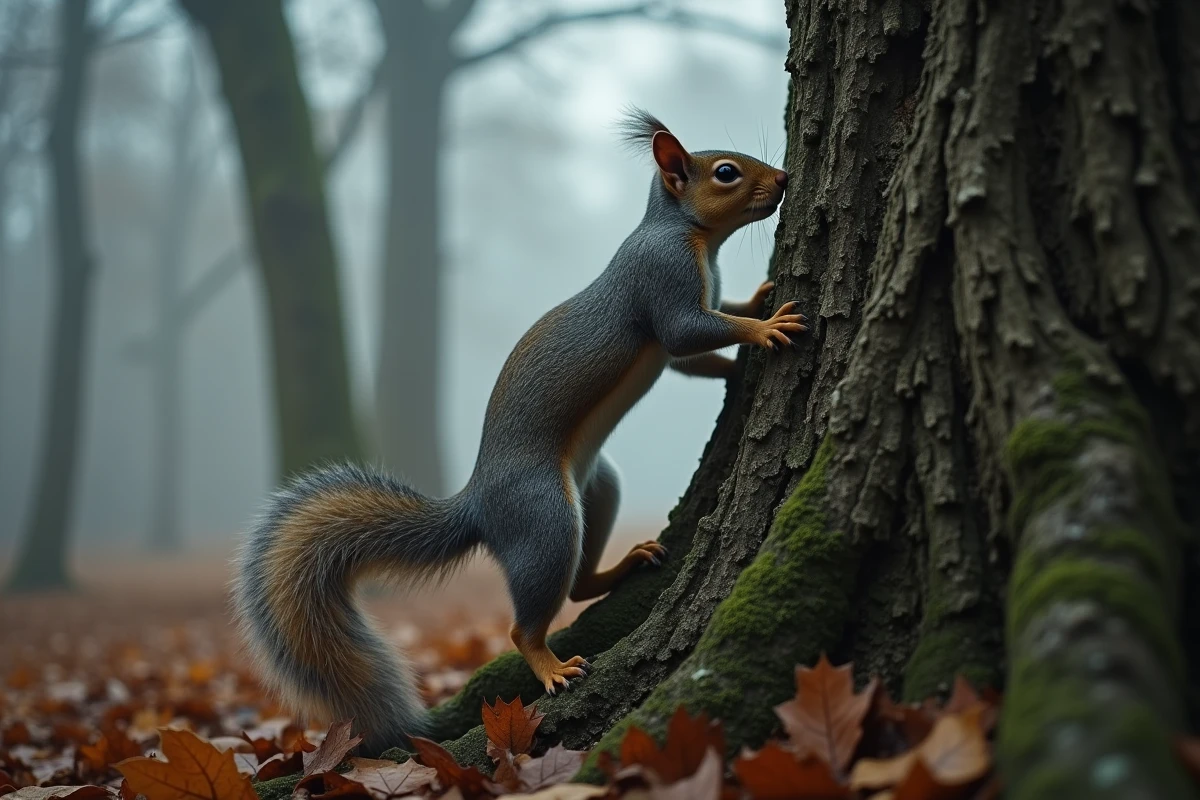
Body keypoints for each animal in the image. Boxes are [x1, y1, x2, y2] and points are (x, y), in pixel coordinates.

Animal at [233, 109, 805, 755]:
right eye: (726, 172)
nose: (784, 179)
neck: (695, 238)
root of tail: (479, 505)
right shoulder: (661, 282)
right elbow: (687, 335)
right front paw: (765, 327)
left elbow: (698, 353)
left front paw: (755, 304)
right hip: (544, 517)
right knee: (521, 624)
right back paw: (551, 666)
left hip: (598, 488)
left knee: (579, 581)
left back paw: (624, 565)